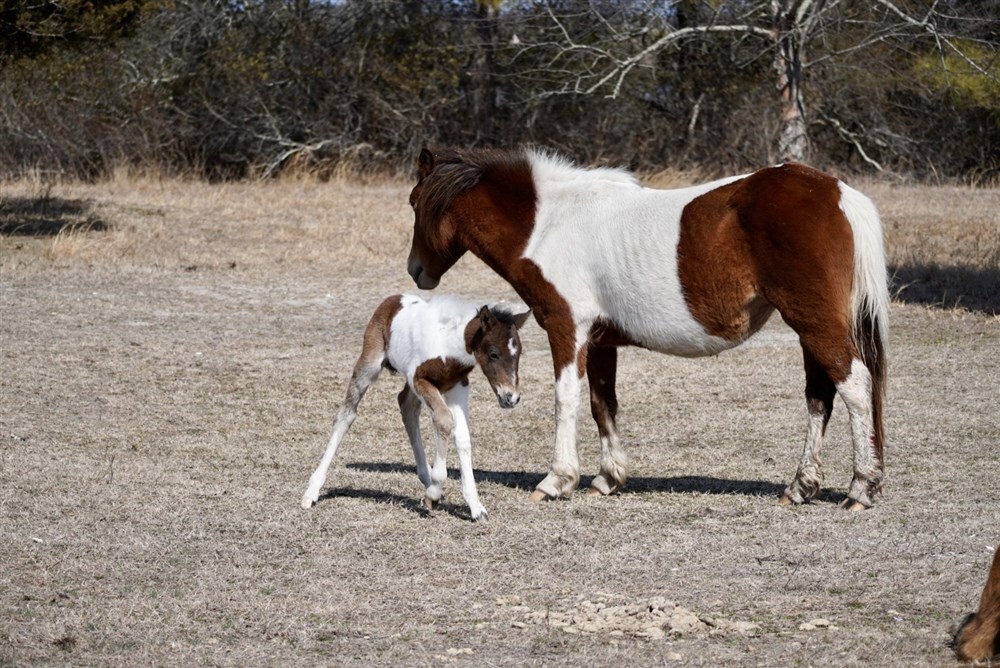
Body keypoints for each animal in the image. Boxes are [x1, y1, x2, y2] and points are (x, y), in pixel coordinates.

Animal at [300, 294, 528, 520]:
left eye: (518, 354)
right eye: (493, 354)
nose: (511, 397)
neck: (448, 344)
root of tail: (393, 299)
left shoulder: (457, 386)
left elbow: (463, 435)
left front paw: (475, 506)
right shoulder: (420, 380)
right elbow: (444, 421)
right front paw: (435, 491)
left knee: (406, 406)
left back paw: (427, 480)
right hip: (370, 364)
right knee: (346, 415)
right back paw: (312, 491)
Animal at [406, 147, 892, 512]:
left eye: (414, 203)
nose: (415, 271)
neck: (548, 224)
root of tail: (836, 192)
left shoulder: (566, 328)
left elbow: (566, 400)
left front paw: (558, 480)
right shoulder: (601, 341)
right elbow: (602, 403)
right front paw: (608, 478)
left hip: (815, 324)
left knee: (855, 387)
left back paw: (861, 487)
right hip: (811, 329)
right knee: (820, 397)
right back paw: (800, 486)